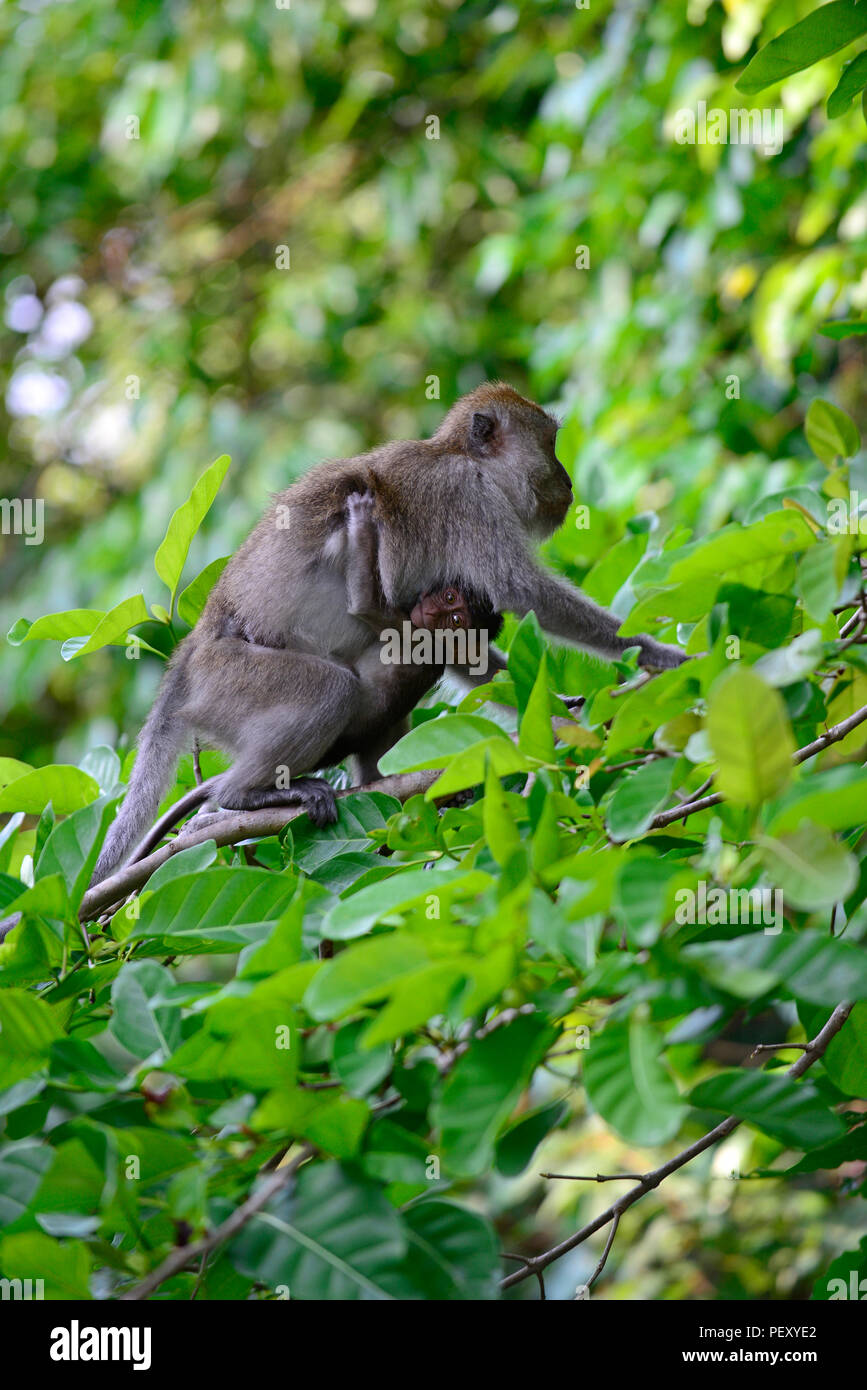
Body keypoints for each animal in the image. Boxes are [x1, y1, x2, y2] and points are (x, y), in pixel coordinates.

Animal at [92, 382, 684, 883]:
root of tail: (192, 648)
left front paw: (560, 710)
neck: (461, 459)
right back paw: (240, 797)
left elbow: (460, 649)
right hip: (229, 679)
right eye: (551, 443)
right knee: (329, 689)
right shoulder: (468, 501)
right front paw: (657, 655)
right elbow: (522, 592)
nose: (567, 480)